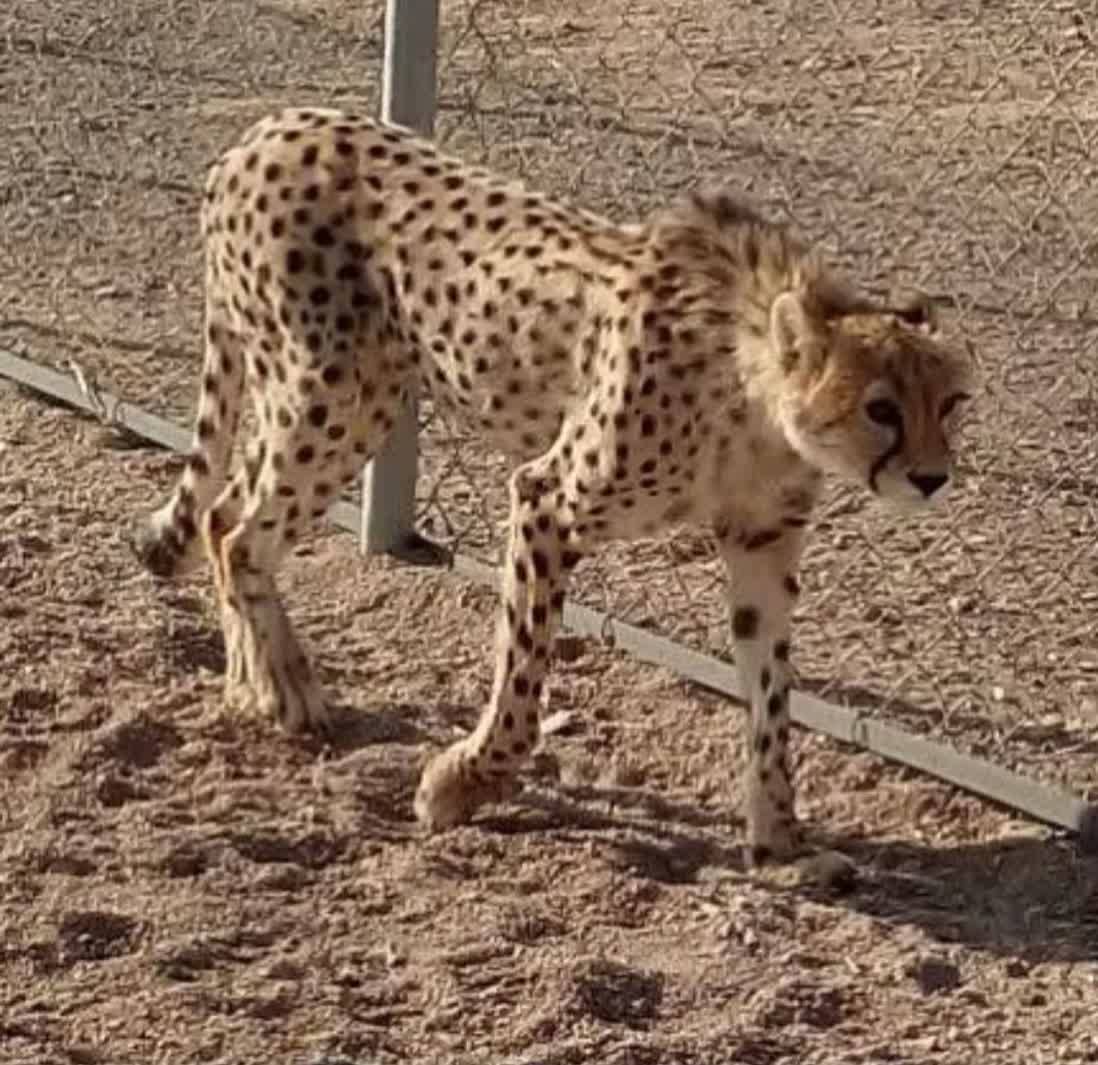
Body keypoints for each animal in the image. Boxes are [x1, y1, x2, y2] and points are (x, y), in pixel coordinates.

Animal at [135, 108, 970, 865]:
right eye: (881, 408)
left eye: (951, 403)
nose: (932, 477)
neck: (754, 394)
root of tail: (265, 130)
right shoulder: (547, 499)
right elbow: (525, 670)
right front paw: (463, 781)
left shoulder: (762, 539)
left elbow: (770, 695)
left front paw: (779, 841)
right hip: (338, 394)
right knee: (240, 531)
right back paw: (286, 688)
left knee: (221, 515)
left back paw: (250, 683)